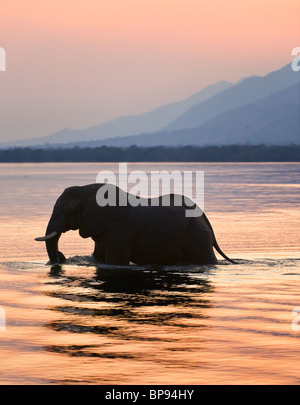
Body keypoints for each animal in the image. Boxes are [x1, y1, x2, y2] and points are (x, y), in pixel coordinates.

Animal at [35, 183, 237, 266]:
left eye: (68, 210)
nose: (61, 256)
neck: (88, 189)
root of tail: (203, 216)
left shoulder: (119, 227)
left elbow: (115, 261)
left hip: (197, 235)